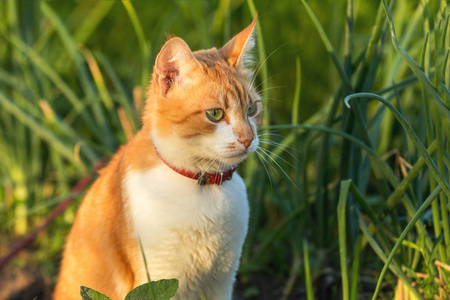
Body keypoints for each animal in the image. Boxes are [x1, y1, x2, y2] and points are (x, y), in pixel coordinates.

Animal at [54, 17, 260, 300]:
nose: (248, 138)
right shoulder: (158, 277)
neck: (202, 186)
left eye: (252, 109)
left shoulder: (222, 280)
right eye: (215, 114)